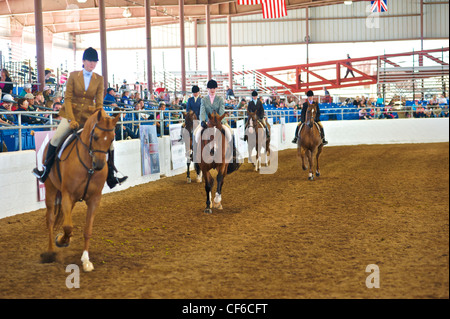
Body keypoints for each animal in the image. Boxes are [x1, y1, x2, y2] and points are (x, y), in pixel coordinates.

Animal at [40, 109, 120, 272]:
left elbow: (87, 230)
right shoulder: (67, 195)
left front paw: (86, 260)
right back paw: (50, 251)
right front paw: (62, 240)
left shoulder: (94, 199)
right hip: (51, 189)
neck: (88, 166)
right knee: (50, 218)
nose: (99, 165)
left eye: (112, 139)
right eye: (95, 136)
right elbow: (67, 226)